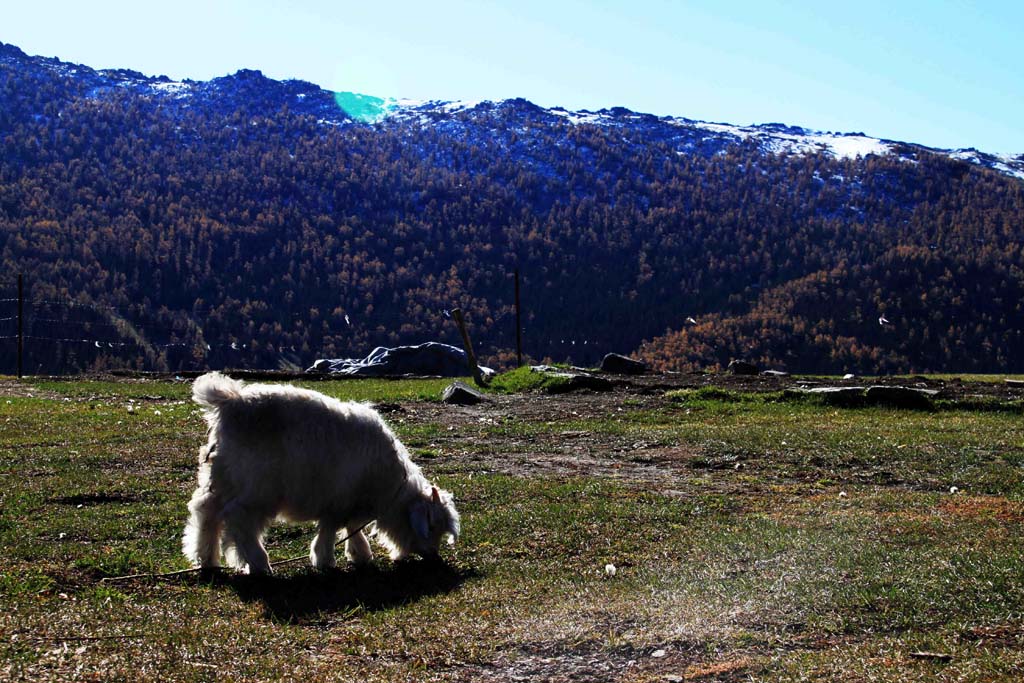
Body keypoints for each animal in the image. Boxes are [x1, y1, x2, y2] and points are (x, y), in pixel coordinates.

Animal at [181, 370, 460, 573]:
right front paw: (326, 559)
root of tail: (229, 402)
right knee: (239, 518)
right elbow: (332, 529)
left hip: (221, 477)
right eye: (431, 526)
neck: (389, 488)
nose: (434, 557)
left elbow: (350, 527)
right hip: (257, 487)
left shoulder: (348, 502)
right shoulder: (339, 500)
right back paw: (259, 563)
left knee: (205, 511)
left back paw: (205, 558)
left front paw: (359, 555)